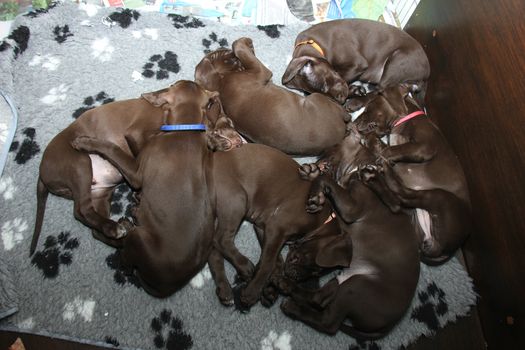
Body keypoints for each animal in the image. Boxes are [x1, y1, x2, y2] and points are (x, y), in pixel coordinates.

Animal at [282, 18, 430, 105]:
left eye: (324, 85)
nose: (340, 101)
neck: (313, 43)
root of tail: (425, 76)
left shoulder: (357, 65)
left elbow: (345, 79)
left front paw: (352, 91)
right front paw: (354, 90)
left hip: (396, 60)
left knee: (380, 90)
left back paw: (356, 103)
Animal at [352, 85, 470, 264]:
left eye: (368, 108)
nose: (353, 124)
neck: (402, 120)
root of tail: (444, 250)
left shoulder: (425, 147)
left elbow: (391, 149)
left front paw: (379, 153)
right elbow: (383, 146)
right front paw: (369, 140)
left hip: (441, 198)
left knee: (403, 195)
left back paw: (380, 171)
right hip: (416, 217)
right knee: (396, 204)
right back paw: (372, 176)